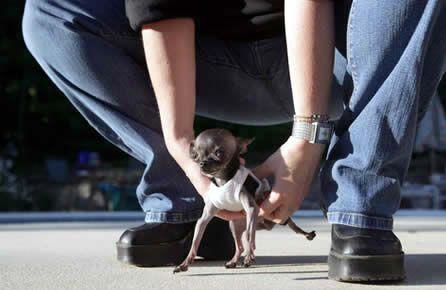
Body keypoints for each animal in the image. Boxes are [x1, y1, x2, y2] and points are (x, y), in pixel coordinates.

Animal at [172, 128, 316, 274]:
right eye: (196, 155)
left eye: (219, 152)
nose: (202, 163)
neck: (223, 180)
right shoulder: (205, 217)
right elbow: (195, 241)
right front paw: (184, 263)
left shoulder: (252, 209)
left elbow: (248, 235)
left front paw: (249, 257)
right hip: (234, 224)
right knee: (240, 246)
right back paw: (233, 261)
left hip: (258, 217)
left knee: (260, 231)